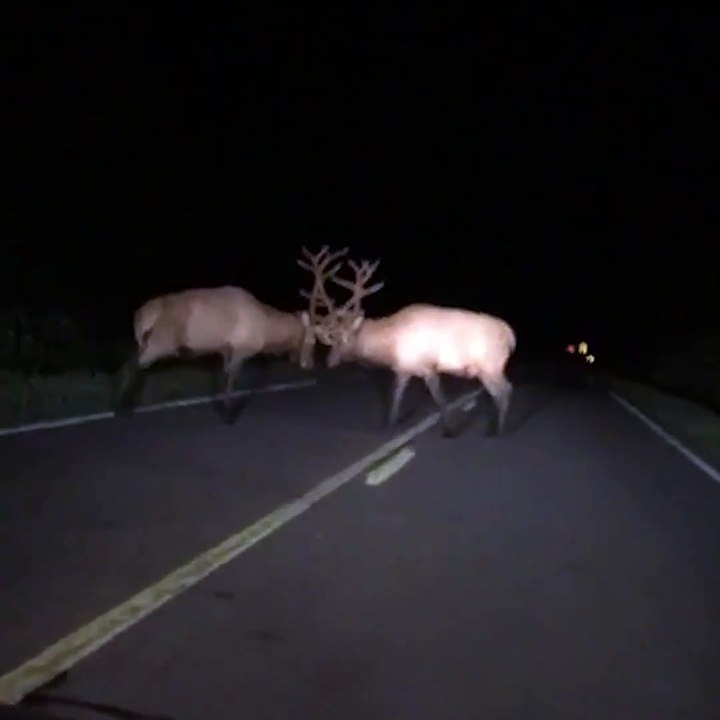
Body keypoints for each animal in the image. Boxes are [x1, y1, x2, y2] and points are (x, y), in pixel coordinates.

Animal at [114, 284, 319, 421]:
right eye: (312, 340)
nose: (310, 364)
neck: (267, 331)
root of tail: (138, 317)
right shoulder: (241, 349)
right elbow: (231, 379)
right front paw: (228, 414)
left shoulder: (225, 349)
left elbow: (224, 377)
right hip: (161, 342)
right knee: (131, 365)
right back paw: (121, 408)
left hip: (145, 343)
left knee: (129, 363)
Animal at [299, 247, 517, 437]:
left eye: (340, 339)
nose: (329, 362)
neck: (389, 346)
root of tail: (511, 336)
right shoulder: (403, 369)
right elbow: (396, 396)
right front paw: (390, 424)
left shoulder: (429, 367)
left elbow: (440, 400)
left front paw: (450, 430)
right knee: (502, 392)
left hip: (490, 366)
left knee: (505, 391)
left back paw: (498, 431)